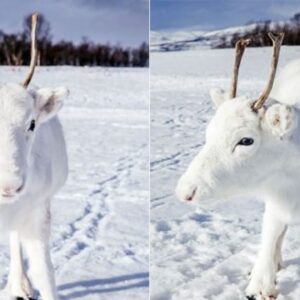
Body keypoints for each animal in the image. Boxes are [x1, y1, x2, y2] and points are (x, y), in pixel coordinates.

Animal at [176, 31, 300, 298]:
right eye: (208, 132)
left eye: (246, 140)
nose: (186, 192)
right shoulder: (276, 199)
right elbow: (271, 232)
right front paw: (259, 284)